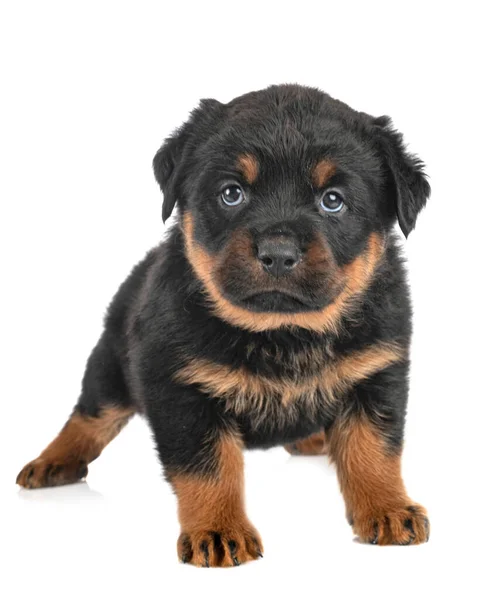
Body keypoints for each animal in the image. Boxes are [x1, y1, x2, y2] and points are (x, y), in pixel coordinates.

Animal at [15, 85, 430, 568]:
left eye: (333, 200)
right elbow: (208, 468)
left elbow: (375, 451)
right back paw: (52, 461)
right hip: (112, 365)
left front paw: (388, 508)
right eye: (232, 194)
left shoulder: (376, 373)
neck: (283, 334)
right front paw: (217, 530)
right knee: (89, 415)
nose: (278, 253)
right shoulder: (182, 389)